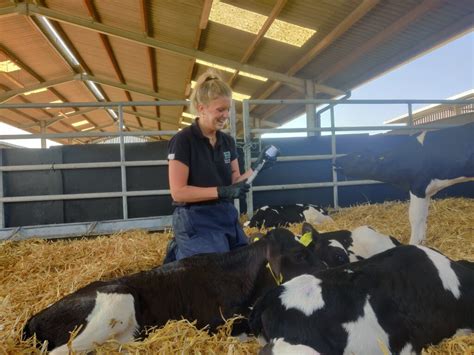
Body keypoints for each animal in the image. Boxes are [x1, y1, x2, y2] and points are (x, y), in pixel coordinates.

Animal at [336, 122, 472, 245]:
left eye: (359, 156)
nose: (336, 161)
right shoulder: (426, 192)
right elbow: (423, 216)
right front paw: (422, 241)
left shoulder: (417, 187)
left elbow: (415, 217)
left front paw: (414, 243)